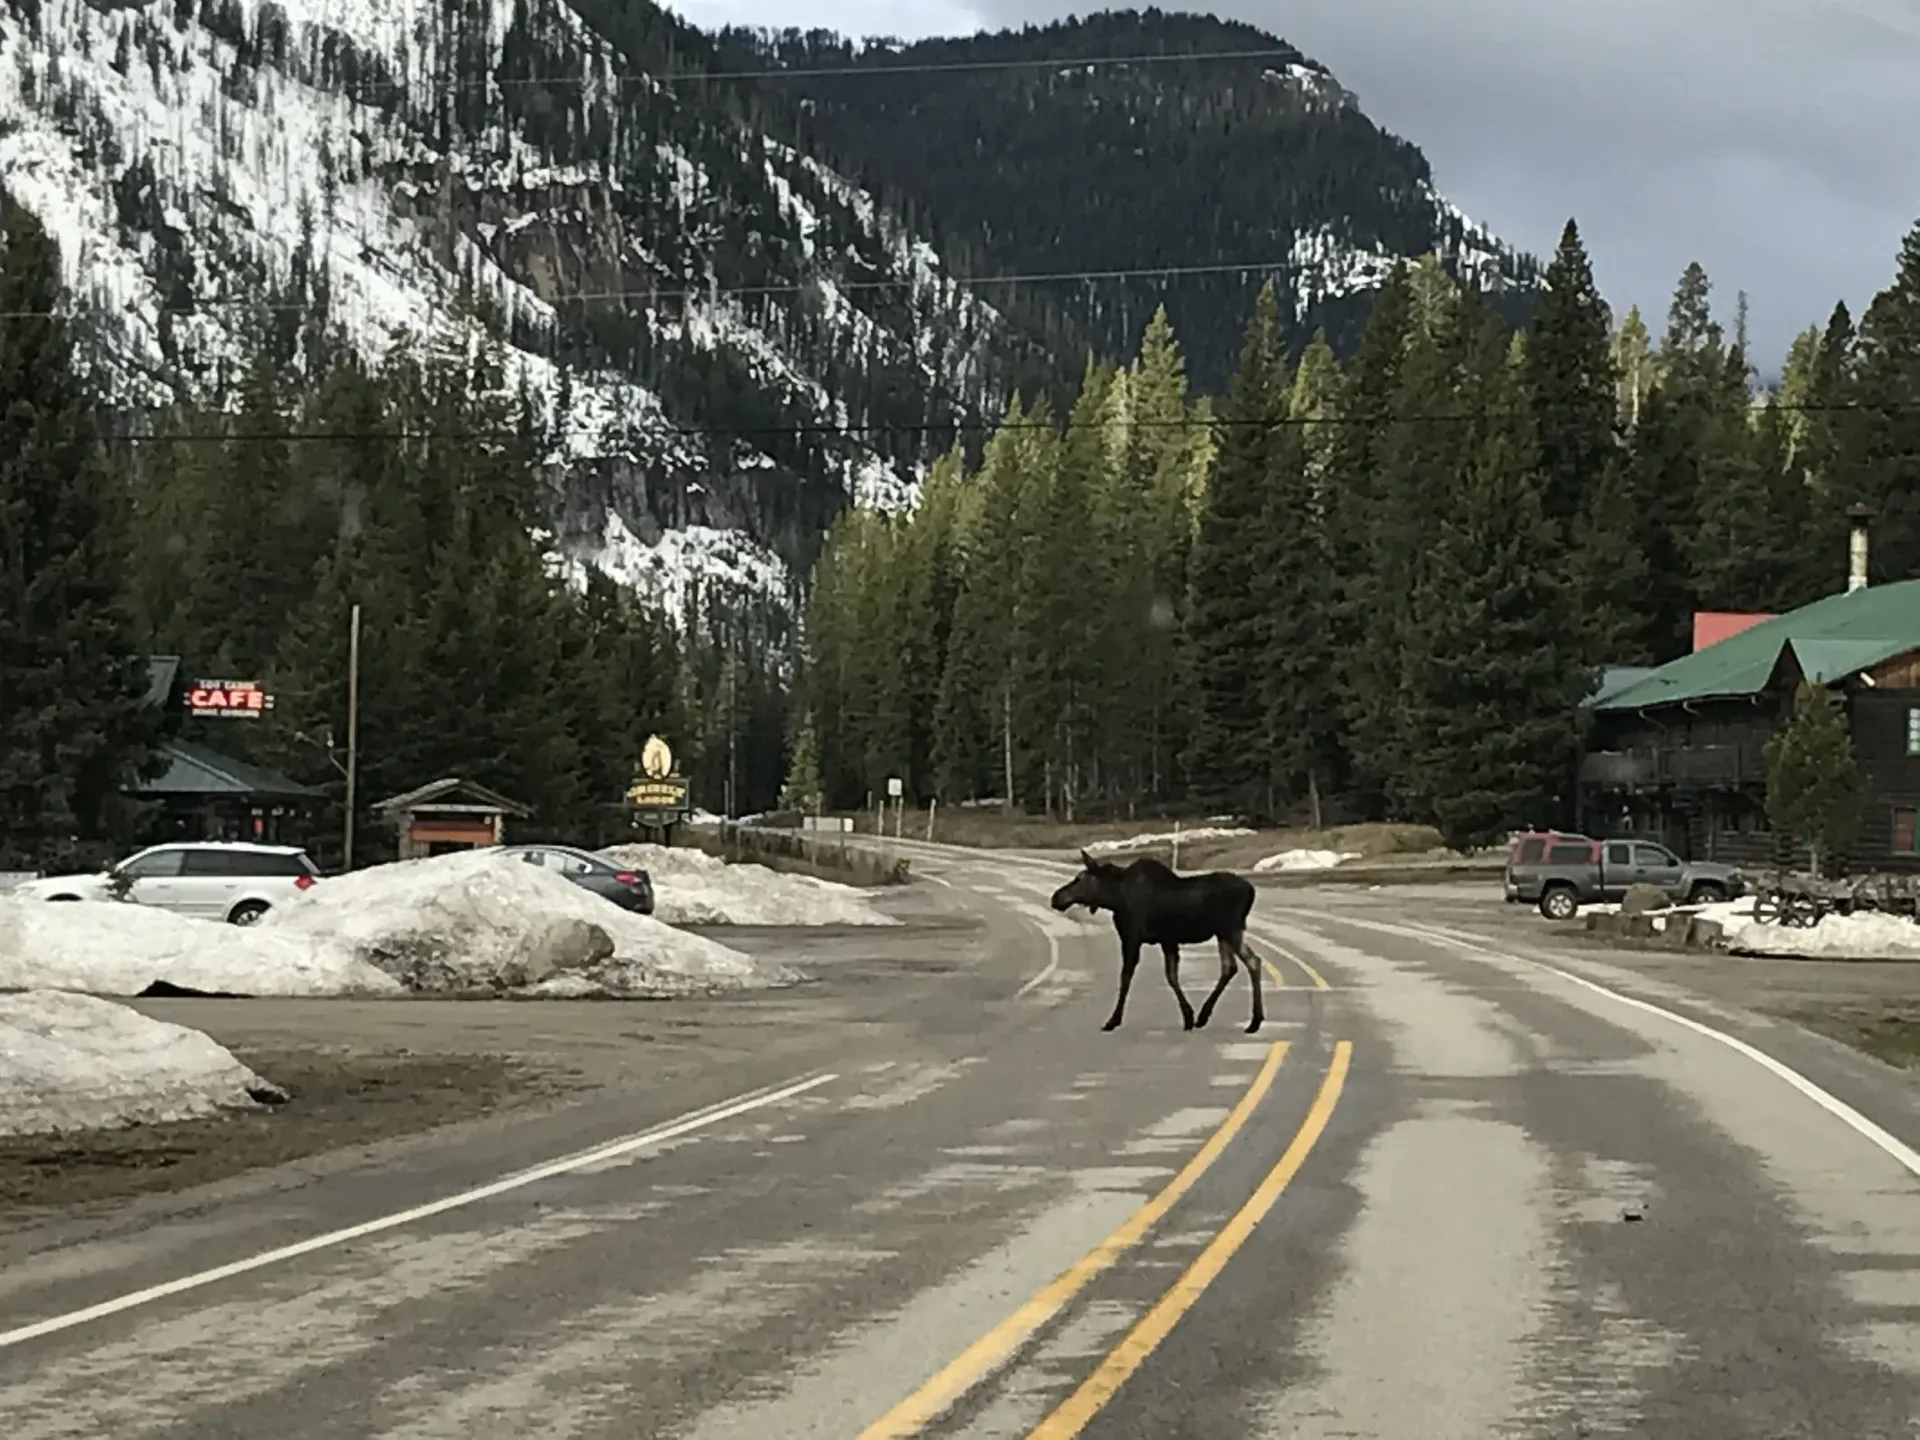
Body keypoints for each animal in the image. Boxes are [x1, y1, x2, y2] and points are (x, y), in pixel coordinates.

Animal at [1049, 850, 1265, 1034]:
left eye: (1080, 879)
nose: (1056, 897)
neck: (1114, 898)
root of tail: (1252, 891)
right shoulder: (1167, 940)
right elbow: (1171, 976)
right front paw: (1188, 1017)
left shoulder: (1132, 938)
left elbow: (1127, 977)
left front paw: (1113, 1020)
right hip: (1223, 933)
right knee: (1230, 966)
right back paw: (1206, 1016)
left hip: (1230, 929)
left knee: (1252, 961)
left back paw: (1254, 1022)